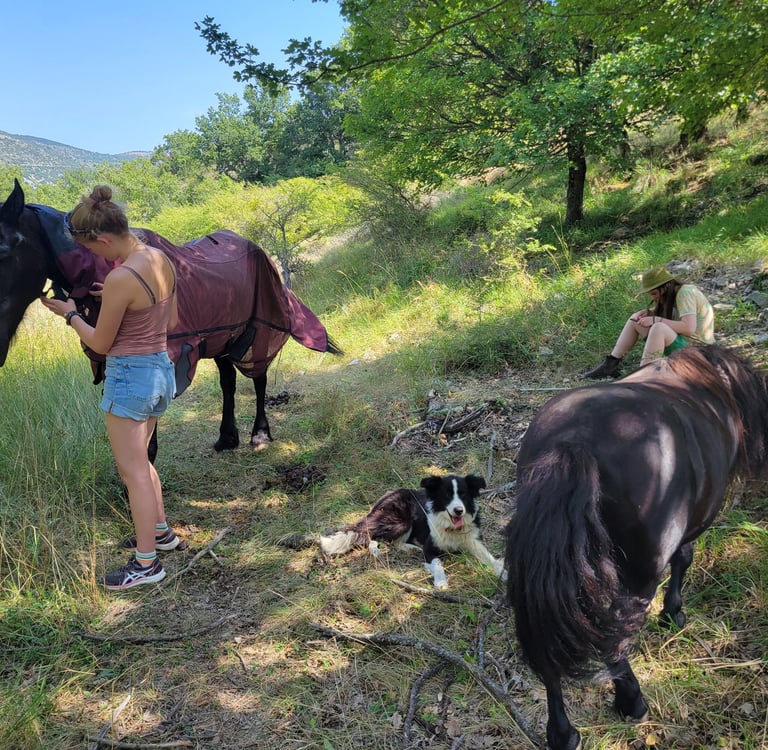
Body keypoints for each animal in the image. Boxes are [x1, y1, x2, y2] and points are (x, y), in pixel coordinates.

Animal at [0, 179, 342, 457]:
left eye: (4, 251)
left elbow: (146, 439)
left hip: (258, 332)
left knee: (258, 377)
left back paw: (260, 435)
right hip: (221, 340)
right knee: (229, 382)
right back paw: (226, 438)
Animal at [504, 344, 768, 750]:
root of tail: (572, 442)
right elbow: (684, 559)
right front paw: (673, 613)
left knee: (549, 651)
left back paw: (562, 733)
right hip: (638, 577)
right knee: (616, 643)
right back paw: (632, 702)